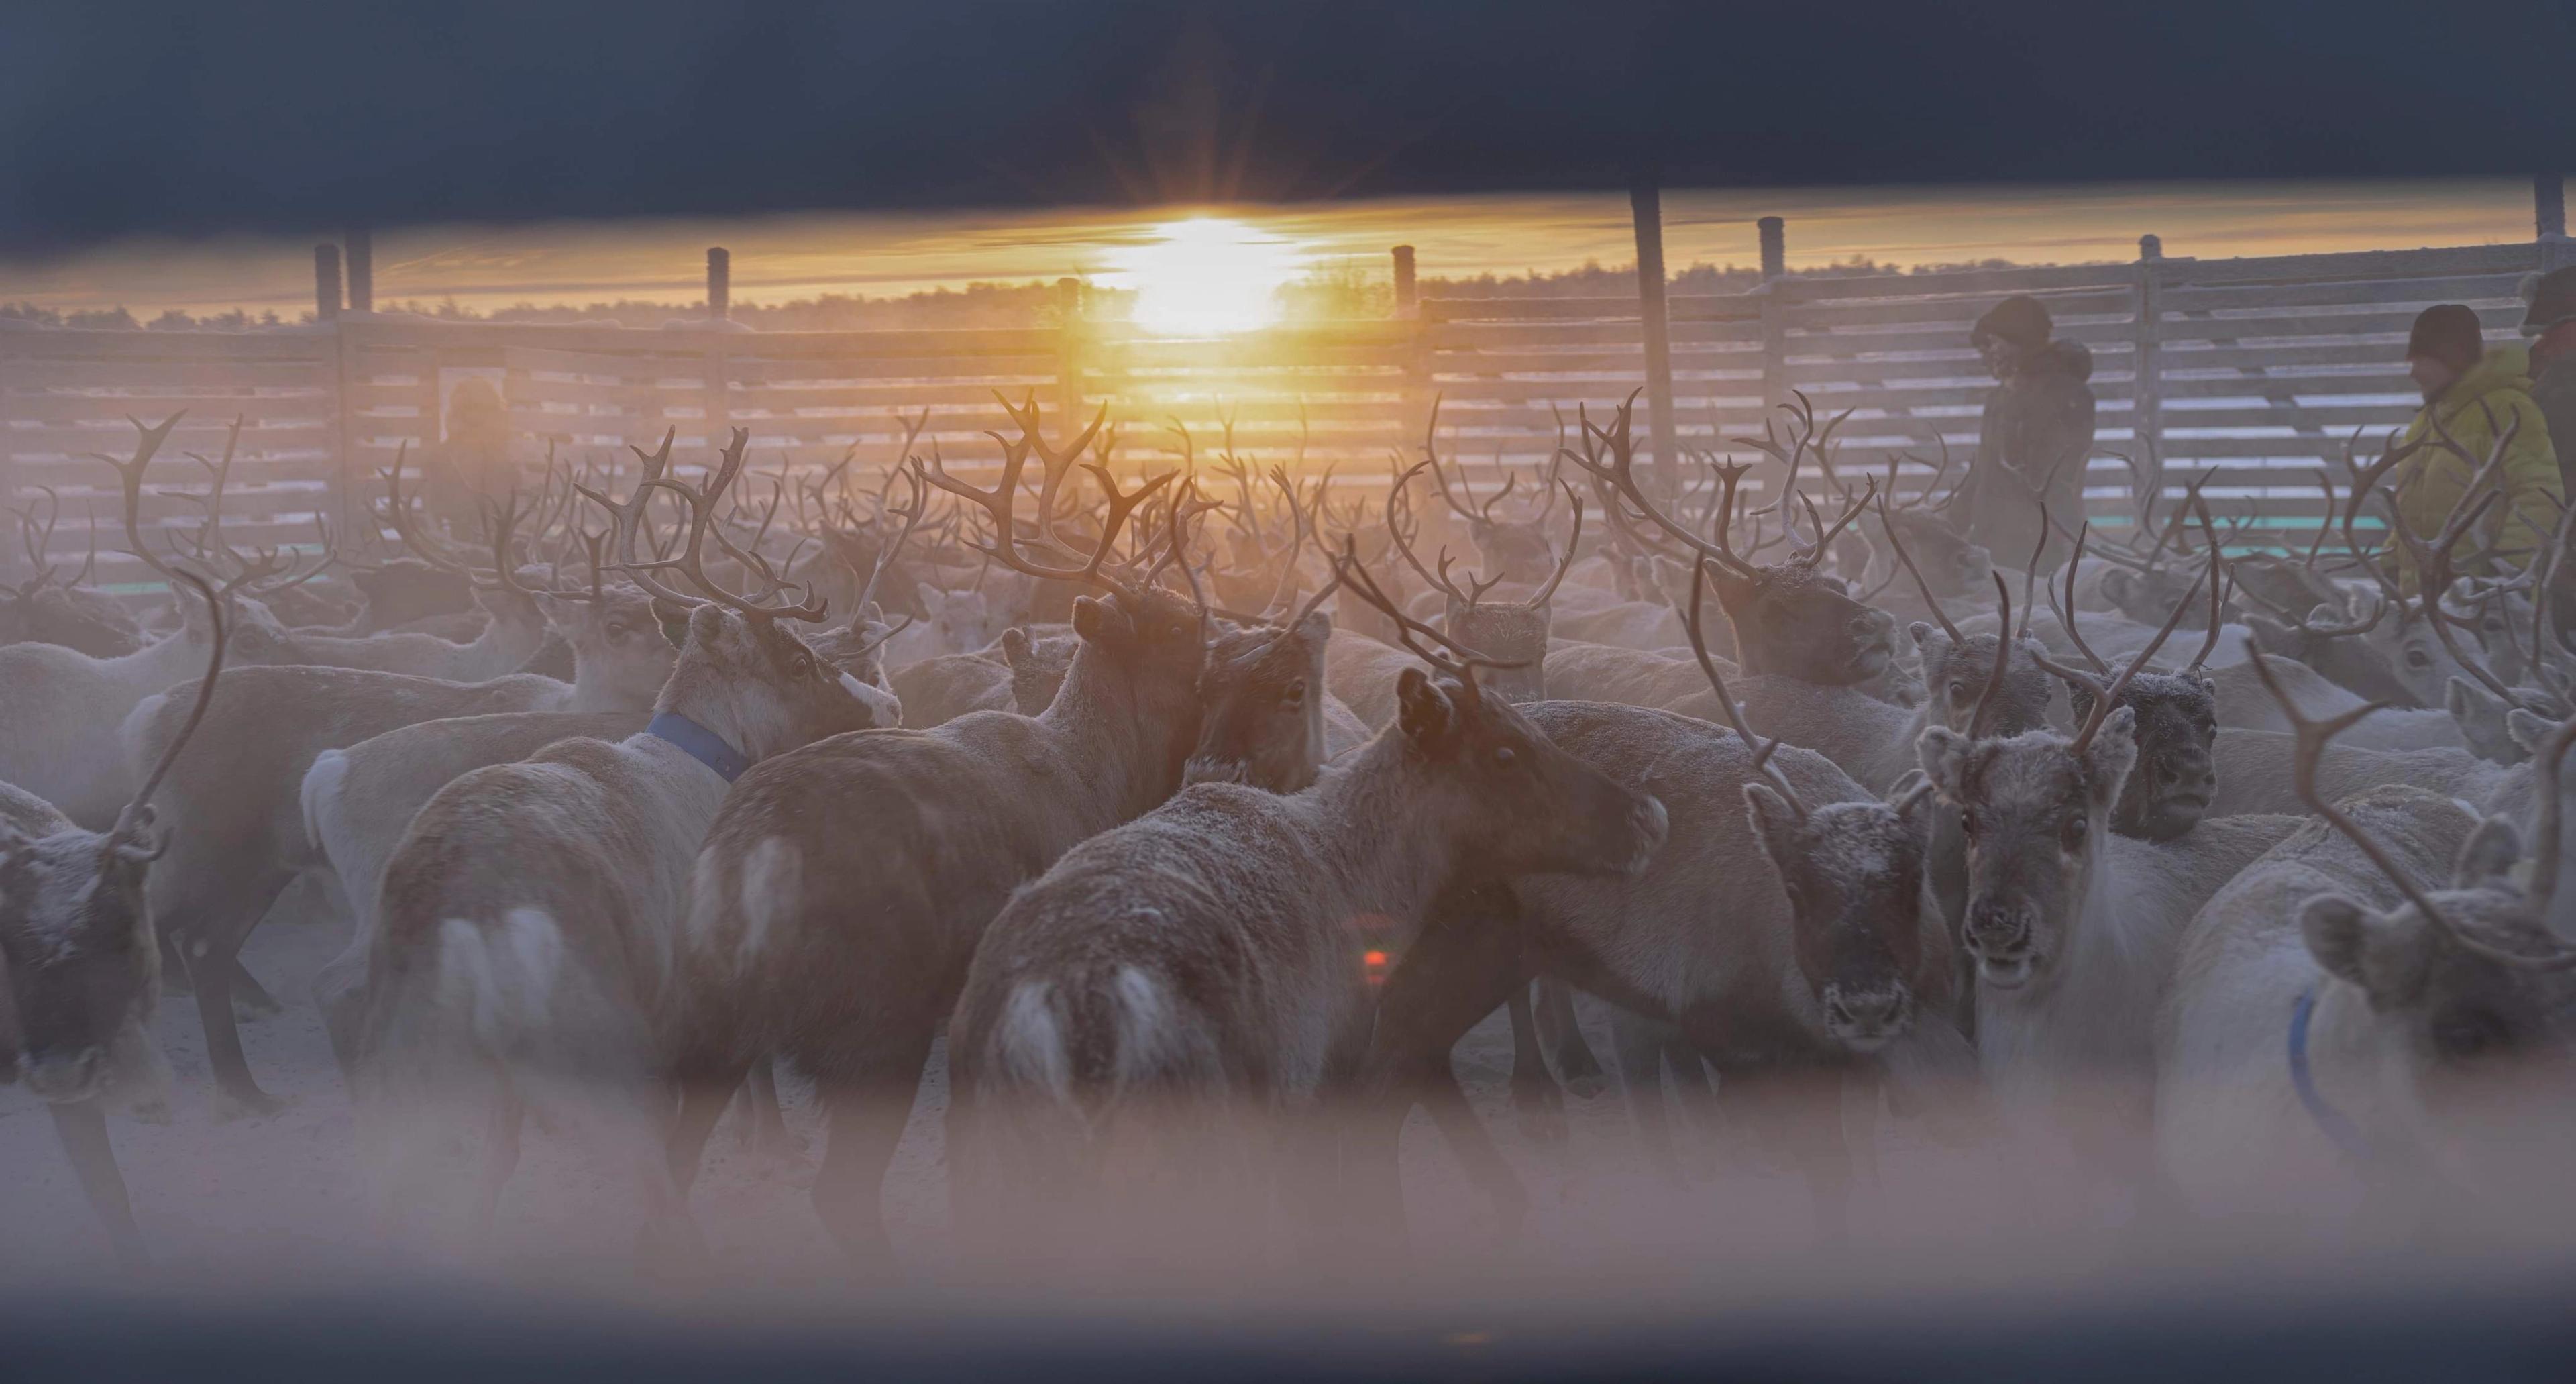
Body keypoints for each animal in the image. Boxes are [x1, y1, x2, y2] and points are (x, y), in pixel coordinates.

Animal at [345, 427, 887, 1250]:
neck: (704, 764)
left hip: (405, 1077)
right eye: (799, 659)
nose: (879, 707)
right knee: (658, 1192)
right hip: (596, 1053)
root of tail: (462, 921)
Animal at [659, 401, 1216, 1263]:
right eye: (1174, 624)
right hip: (874, 1015)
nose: (1232, 637)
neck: (1103, 778)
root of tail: (747, 867)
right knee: (841, 1190)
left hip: (703, 1015)